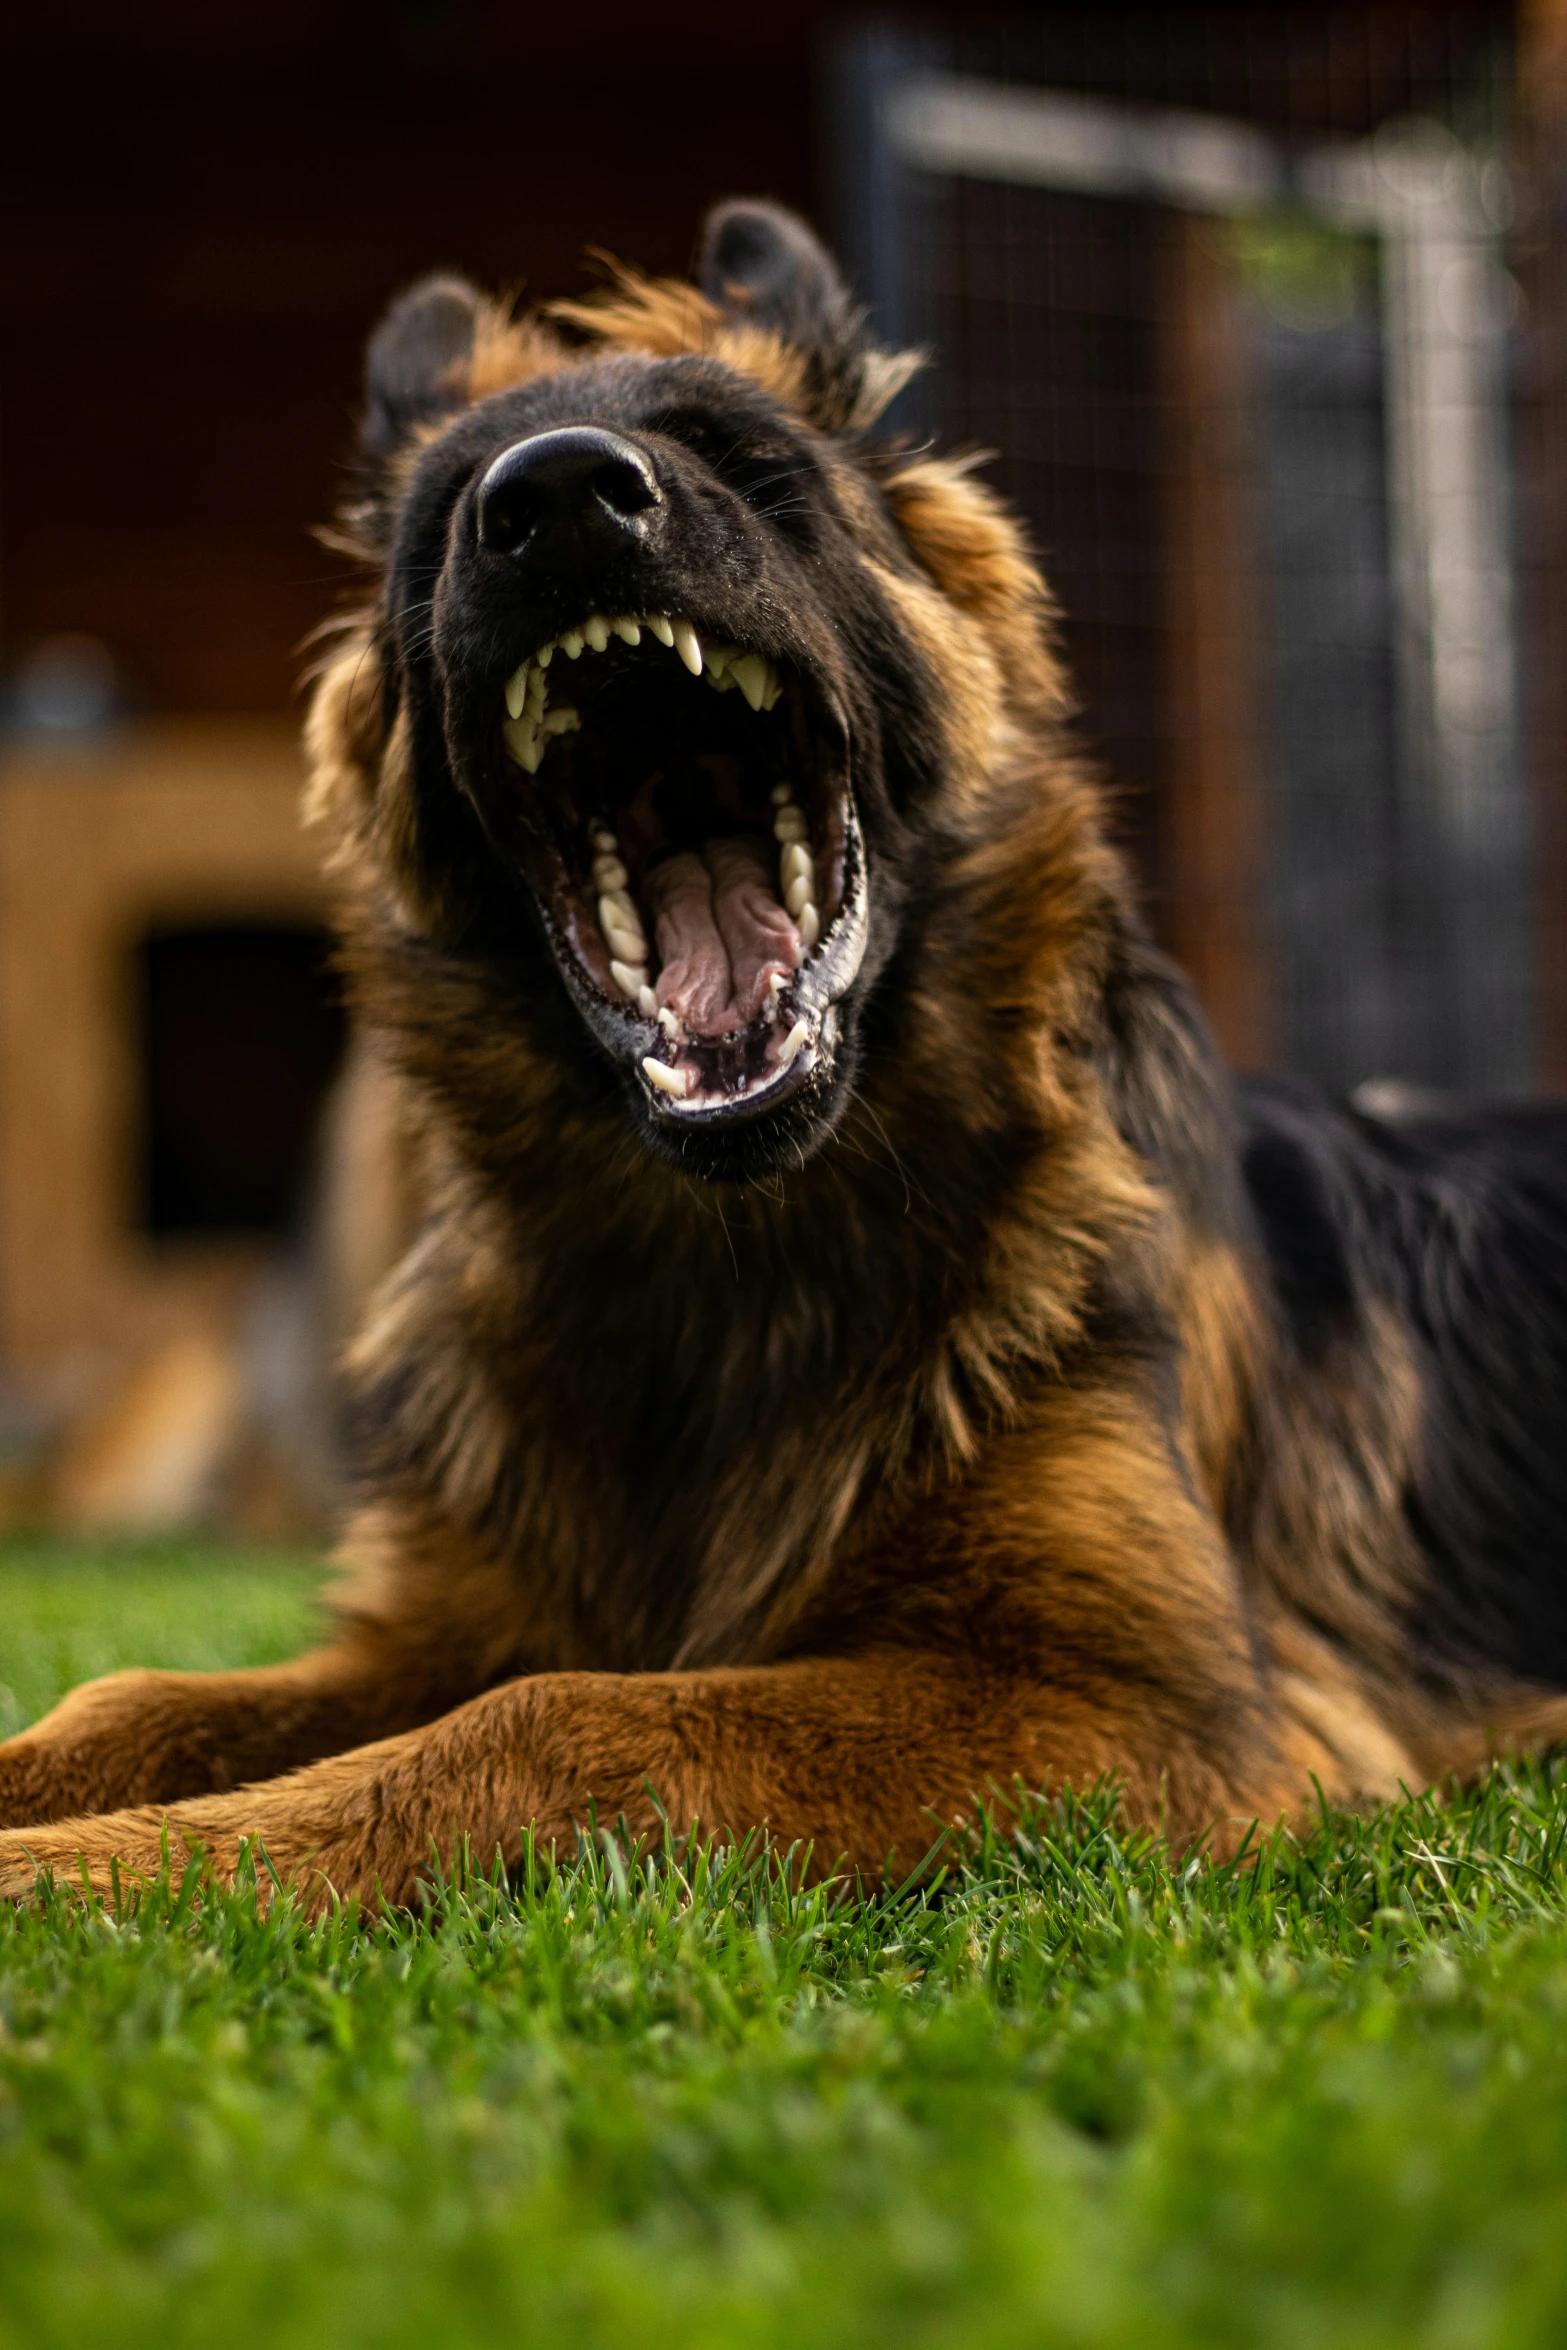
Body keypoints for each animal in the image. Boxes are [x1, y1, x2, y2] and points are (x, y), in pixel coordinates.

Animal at [3, 202, 1567, 1908]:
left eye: (743, 460)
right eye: (441, 524)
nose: (557, 495)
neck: (724, 1264)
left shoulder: (1136, 1701)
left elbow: (551, 1718)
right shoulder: (435, 1624)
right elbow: (127, 1696)